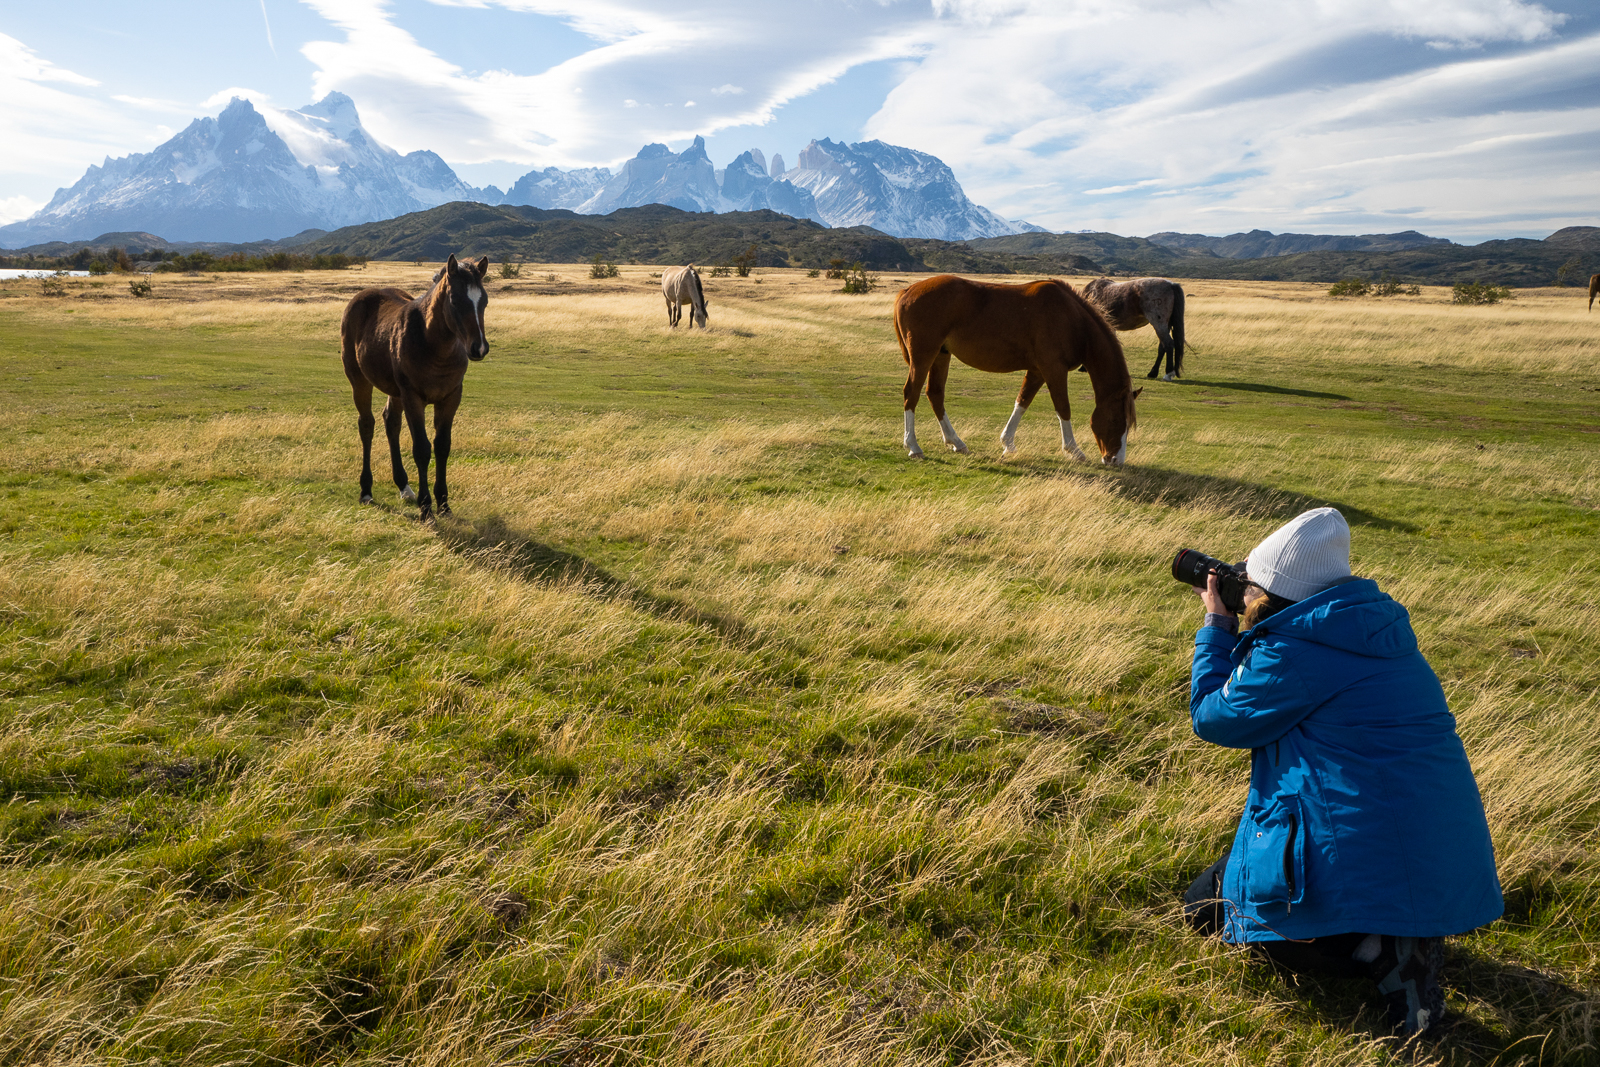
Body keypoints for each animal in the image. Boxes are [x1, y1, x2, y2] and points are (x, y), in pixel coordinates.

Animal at [341, 253, 490, 522]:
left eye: (483, 301)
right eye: (455, 300)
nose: (479, 348)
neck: (433, 345)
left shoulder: (450, 398)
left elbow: (442, 446)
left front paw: (444, 504)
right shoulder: (413, 398)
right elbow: (422, 448)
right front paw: (427, 508)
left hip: (395, 392)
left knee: (391, 422)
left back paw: (404, 486)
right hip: (359, 380)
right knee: (367, 425)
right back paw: (366, 490)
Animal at [893, 275, 1141, 465]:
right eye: (1116, 420)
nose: (1116, 460)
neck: (1073, 320)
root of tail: (907, 290)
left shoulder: (1038, 372)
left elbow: (1022, 402)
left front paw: (1008, 444)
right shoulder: (1054, 370)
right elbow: (1063, 408)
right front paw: (1074, 450)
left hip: (941, 356)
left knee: (935, 394)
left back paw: (957, 442)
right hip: (923, 356)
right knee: (911, 394)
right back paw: (913, 446)